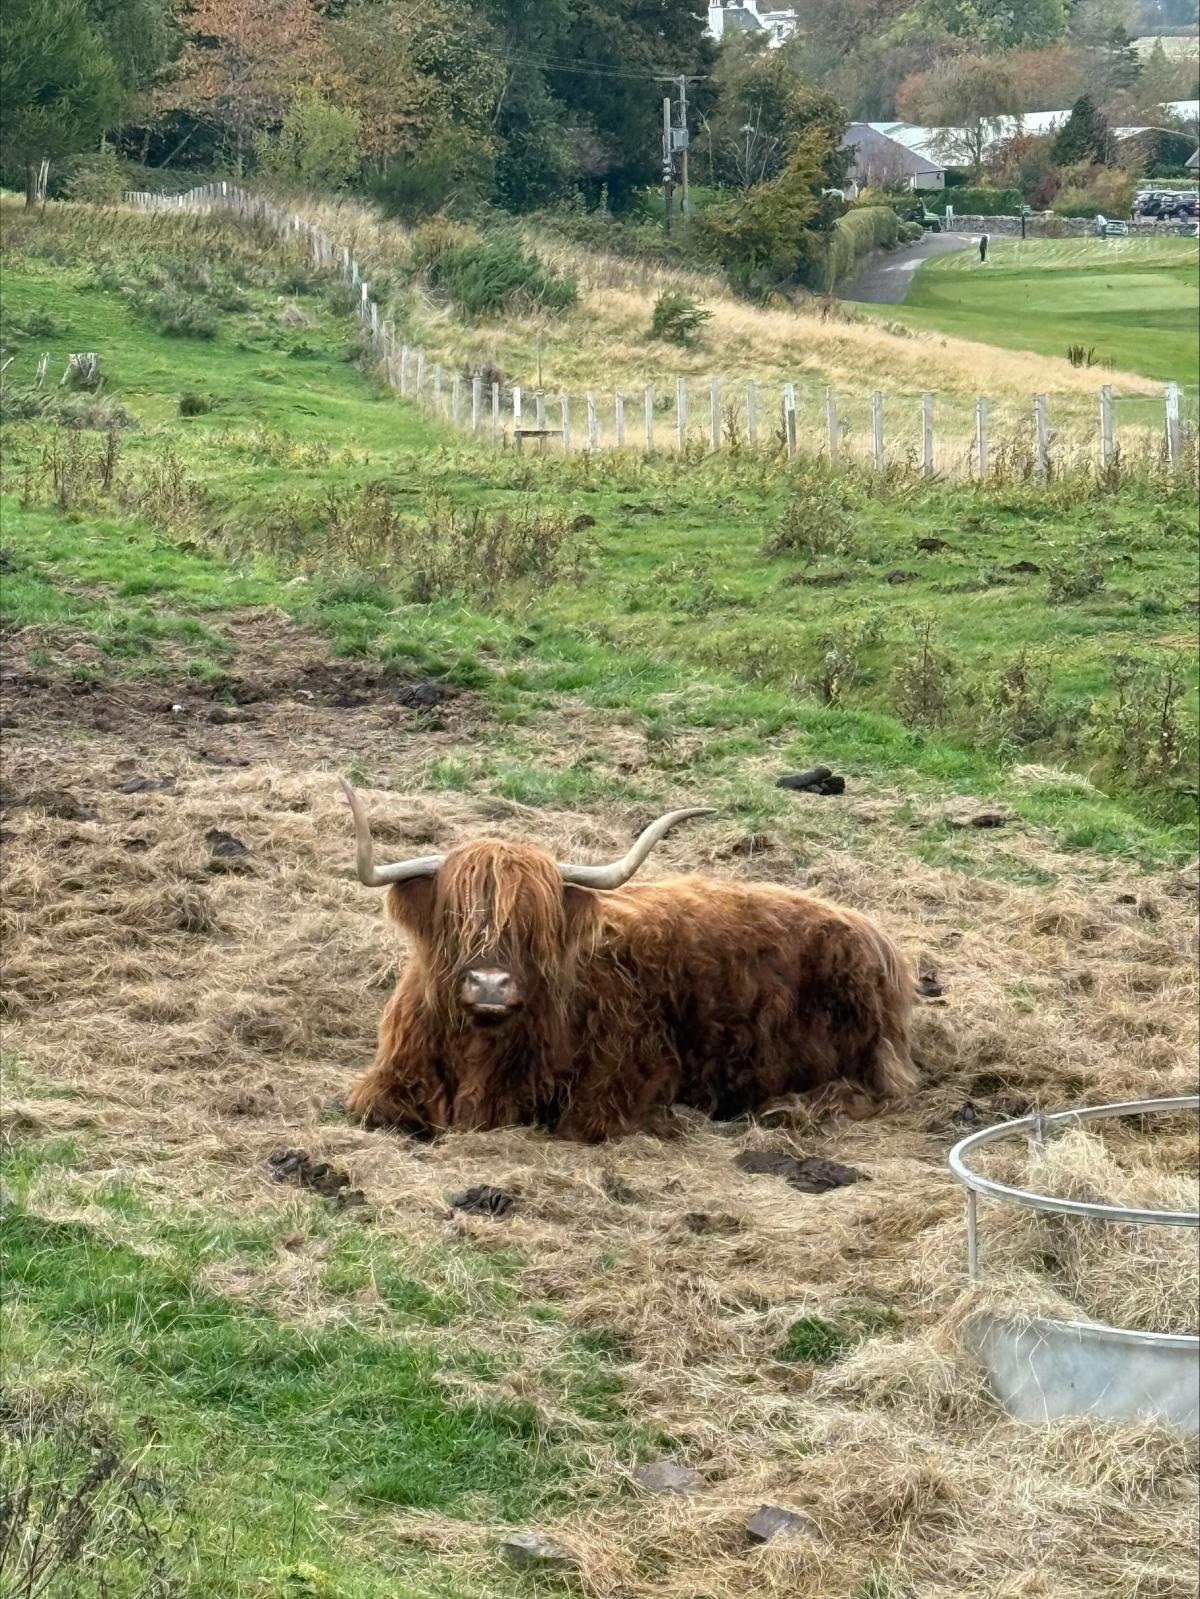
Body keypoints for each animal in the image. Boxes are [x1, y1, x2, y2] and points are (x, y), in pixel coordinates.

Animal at [340, 781, 916, 1140]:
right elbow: (370, 1108)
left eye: (535, 928)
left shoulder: (622, 1088)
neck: (480, 1052)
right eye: (455, 919)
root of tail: (875, 935)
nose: (489, 984)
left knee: (868, 1093)